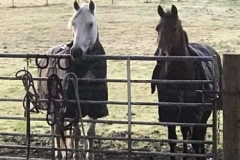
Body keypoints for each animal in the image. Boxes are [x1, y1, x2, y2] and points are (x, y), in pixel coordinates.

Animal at [151, 4, 222, 159]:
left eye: (174, 28)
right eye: (157, 28)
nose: (160, 56)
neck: (180, 76)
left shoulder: (194, 113)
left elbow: (195, 139)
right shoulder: (169, 112)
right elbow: (173, 140)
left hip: (204, 113)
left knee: (200, 135)